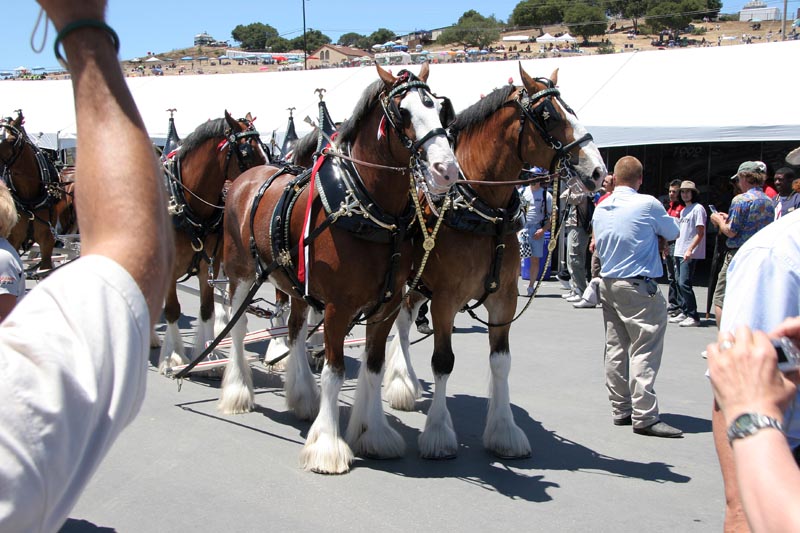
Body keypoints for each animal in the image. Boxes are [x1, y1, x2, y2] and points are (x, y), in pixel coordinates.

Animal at [158, 111, 267, 372]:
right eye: (247, 153)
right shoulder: (169, 267)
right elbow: (172, 310)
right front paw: (174, 356)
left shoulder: (209, 263)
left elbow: (206, 308)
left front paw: (208, 356)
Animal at [218, 63, 458, 473]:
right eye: (403, 113)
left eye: (439, 109)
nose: (447, 170)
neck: (368, 208)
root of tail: (244, 179)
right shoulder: (337, 308)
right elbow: (334, 371)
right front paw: (328, 446)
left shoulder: (386, 305)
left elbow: (374, 366)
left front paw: (373, 433)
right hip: (241, 273)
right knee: (238, 326)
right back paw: (238, 392)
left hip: (296, 284)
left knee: (295, 329)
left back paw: (302, 397)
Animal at [383, 65, 607, 460]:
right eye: (549, 116)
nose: (597, 171)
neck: (483, 209)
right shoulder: (445, 301)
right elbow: (443, 362)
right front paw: (438, 433)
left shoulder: (504, 299)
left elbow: (501, 361)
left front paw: (504, 431)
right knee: (403, 323)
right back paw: (402, 384)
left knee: (407, 318)